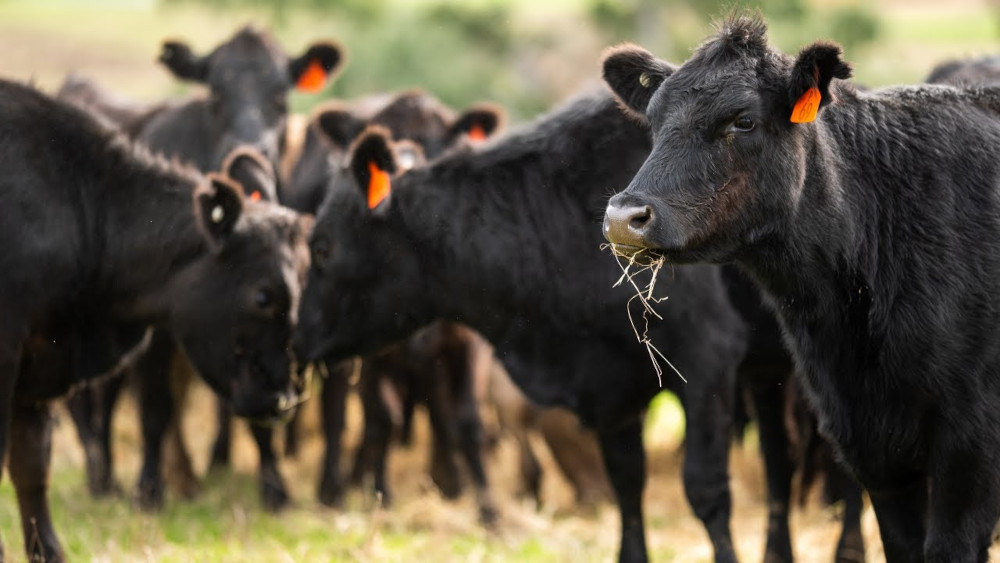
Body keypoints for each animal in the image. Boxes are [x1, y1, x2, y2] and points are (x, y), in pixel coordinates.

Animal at [293, 90, 749, 563]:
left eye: (322, 248)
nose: (297, 335)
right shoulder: (611, 384)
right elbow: (627, 483)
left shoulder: (707, 357)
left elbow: (706, 489)